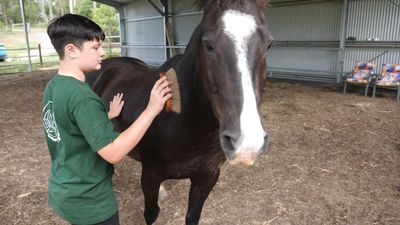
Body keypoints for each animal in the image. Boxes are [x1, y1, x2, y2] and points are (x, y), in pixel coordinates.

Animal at [89, 0, 274, 224]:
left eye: (269, 45)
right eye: (208, 45)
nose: (247, 144)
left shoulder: (207, 178)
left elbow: (192, 215)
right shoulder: (150, 177)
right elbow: (151, 214)